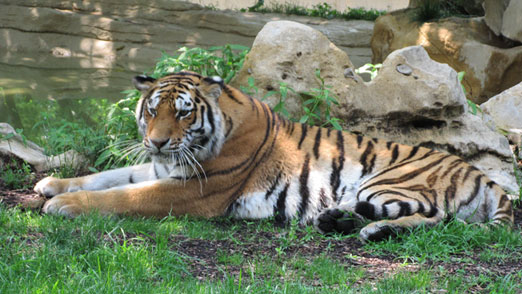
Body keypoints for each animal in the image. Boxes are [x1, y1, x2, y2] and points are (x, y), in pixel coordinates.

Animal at [35, 70, 512, 241]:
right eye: (152, 110)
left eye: (183, 113)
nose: (156, 141)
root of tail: (485, 178)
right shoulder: (162, 167)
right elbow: (110, 176)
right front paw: (53, 184)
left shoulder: (194, 190)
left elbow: (121, 196)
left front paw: (64, 204)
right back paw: (342, 222)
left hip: (389, 180)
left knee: (436, 217)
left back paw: (369, 230)